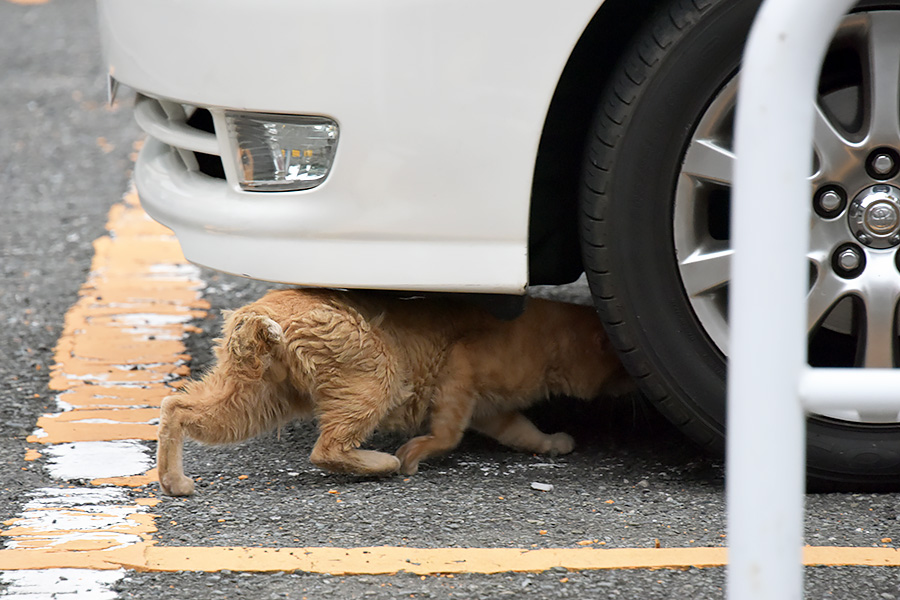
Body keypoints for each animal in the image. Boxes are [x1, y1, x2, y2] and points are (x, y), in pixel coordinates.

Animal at [158, 288, 628, 494]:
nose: (631, 380)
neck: (547, 342)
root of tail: (258, 311)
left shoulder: (492, 410)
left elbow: (522, 431)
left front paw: (551, 443)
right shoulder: (460, 367)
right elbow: (447, 434)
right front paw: (415, 454)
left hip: (254, 400)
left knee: (176, 404)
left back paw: (173, 481)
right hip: (378, 374)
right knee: (326, 449)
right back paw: (383, 462)